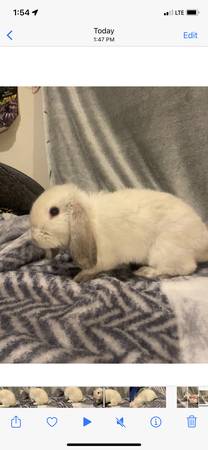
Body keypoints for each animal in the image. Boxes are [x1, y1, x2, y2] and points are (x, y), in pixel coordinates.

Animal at [29, 183, 208, 282]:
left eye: (54, 211)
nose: (34, 239)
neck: (89, 220)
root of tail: (202, 241)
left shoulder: (103, 259)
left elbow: (93, 269)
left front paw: (79, 277)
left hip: (164, 250)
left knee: (186, 268)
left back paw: (147, 272)